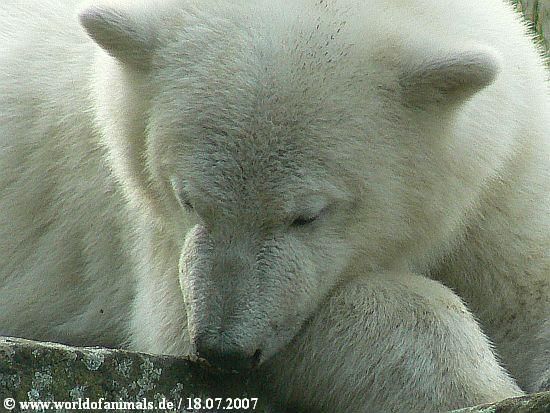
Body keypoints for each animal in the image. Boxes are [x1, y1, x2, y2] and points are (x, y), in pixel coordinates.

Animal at [0, 0, 548, 411]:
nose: (223, 350)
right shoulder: (154, 241)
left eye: (306, 214)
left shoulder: (505, 175)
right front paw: (482, 388)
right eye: (187, 200)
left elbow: (527, 288)